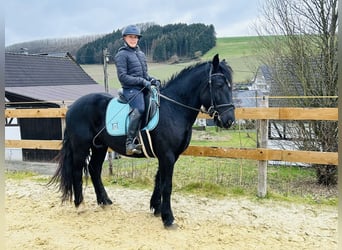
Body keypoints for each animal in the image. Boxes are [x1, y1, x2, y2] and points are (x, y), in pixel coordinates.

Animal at [48, 54, 235, 227]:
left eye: (230, 86)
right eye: (219, 85)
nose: (229, 121)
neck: (173, 109)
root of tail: (72, 108)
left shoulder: (169, 156)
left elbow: (159, 181)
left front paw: (156, 209)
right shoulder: (167, 155)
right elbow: (167, 185)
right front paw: (168, 218)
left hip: (100, 146)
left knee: (94, 169)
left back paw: (105, 201)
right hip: (81, 147)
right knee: (77, 172)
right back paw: (80, 205)